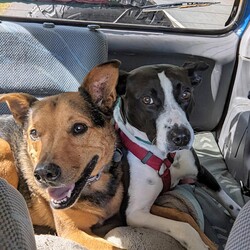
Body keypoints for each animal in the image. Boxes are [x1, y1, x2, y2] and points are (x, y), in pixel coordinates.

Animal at [114, 61, 241, 249]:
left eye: (186, 94)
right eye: (147, 100)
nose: (181, 137)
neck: (166, 158)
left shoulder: (202, 172)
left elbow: (229, 201)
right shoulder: (135, 213)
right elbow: (183, 226)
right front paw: (199, 244)